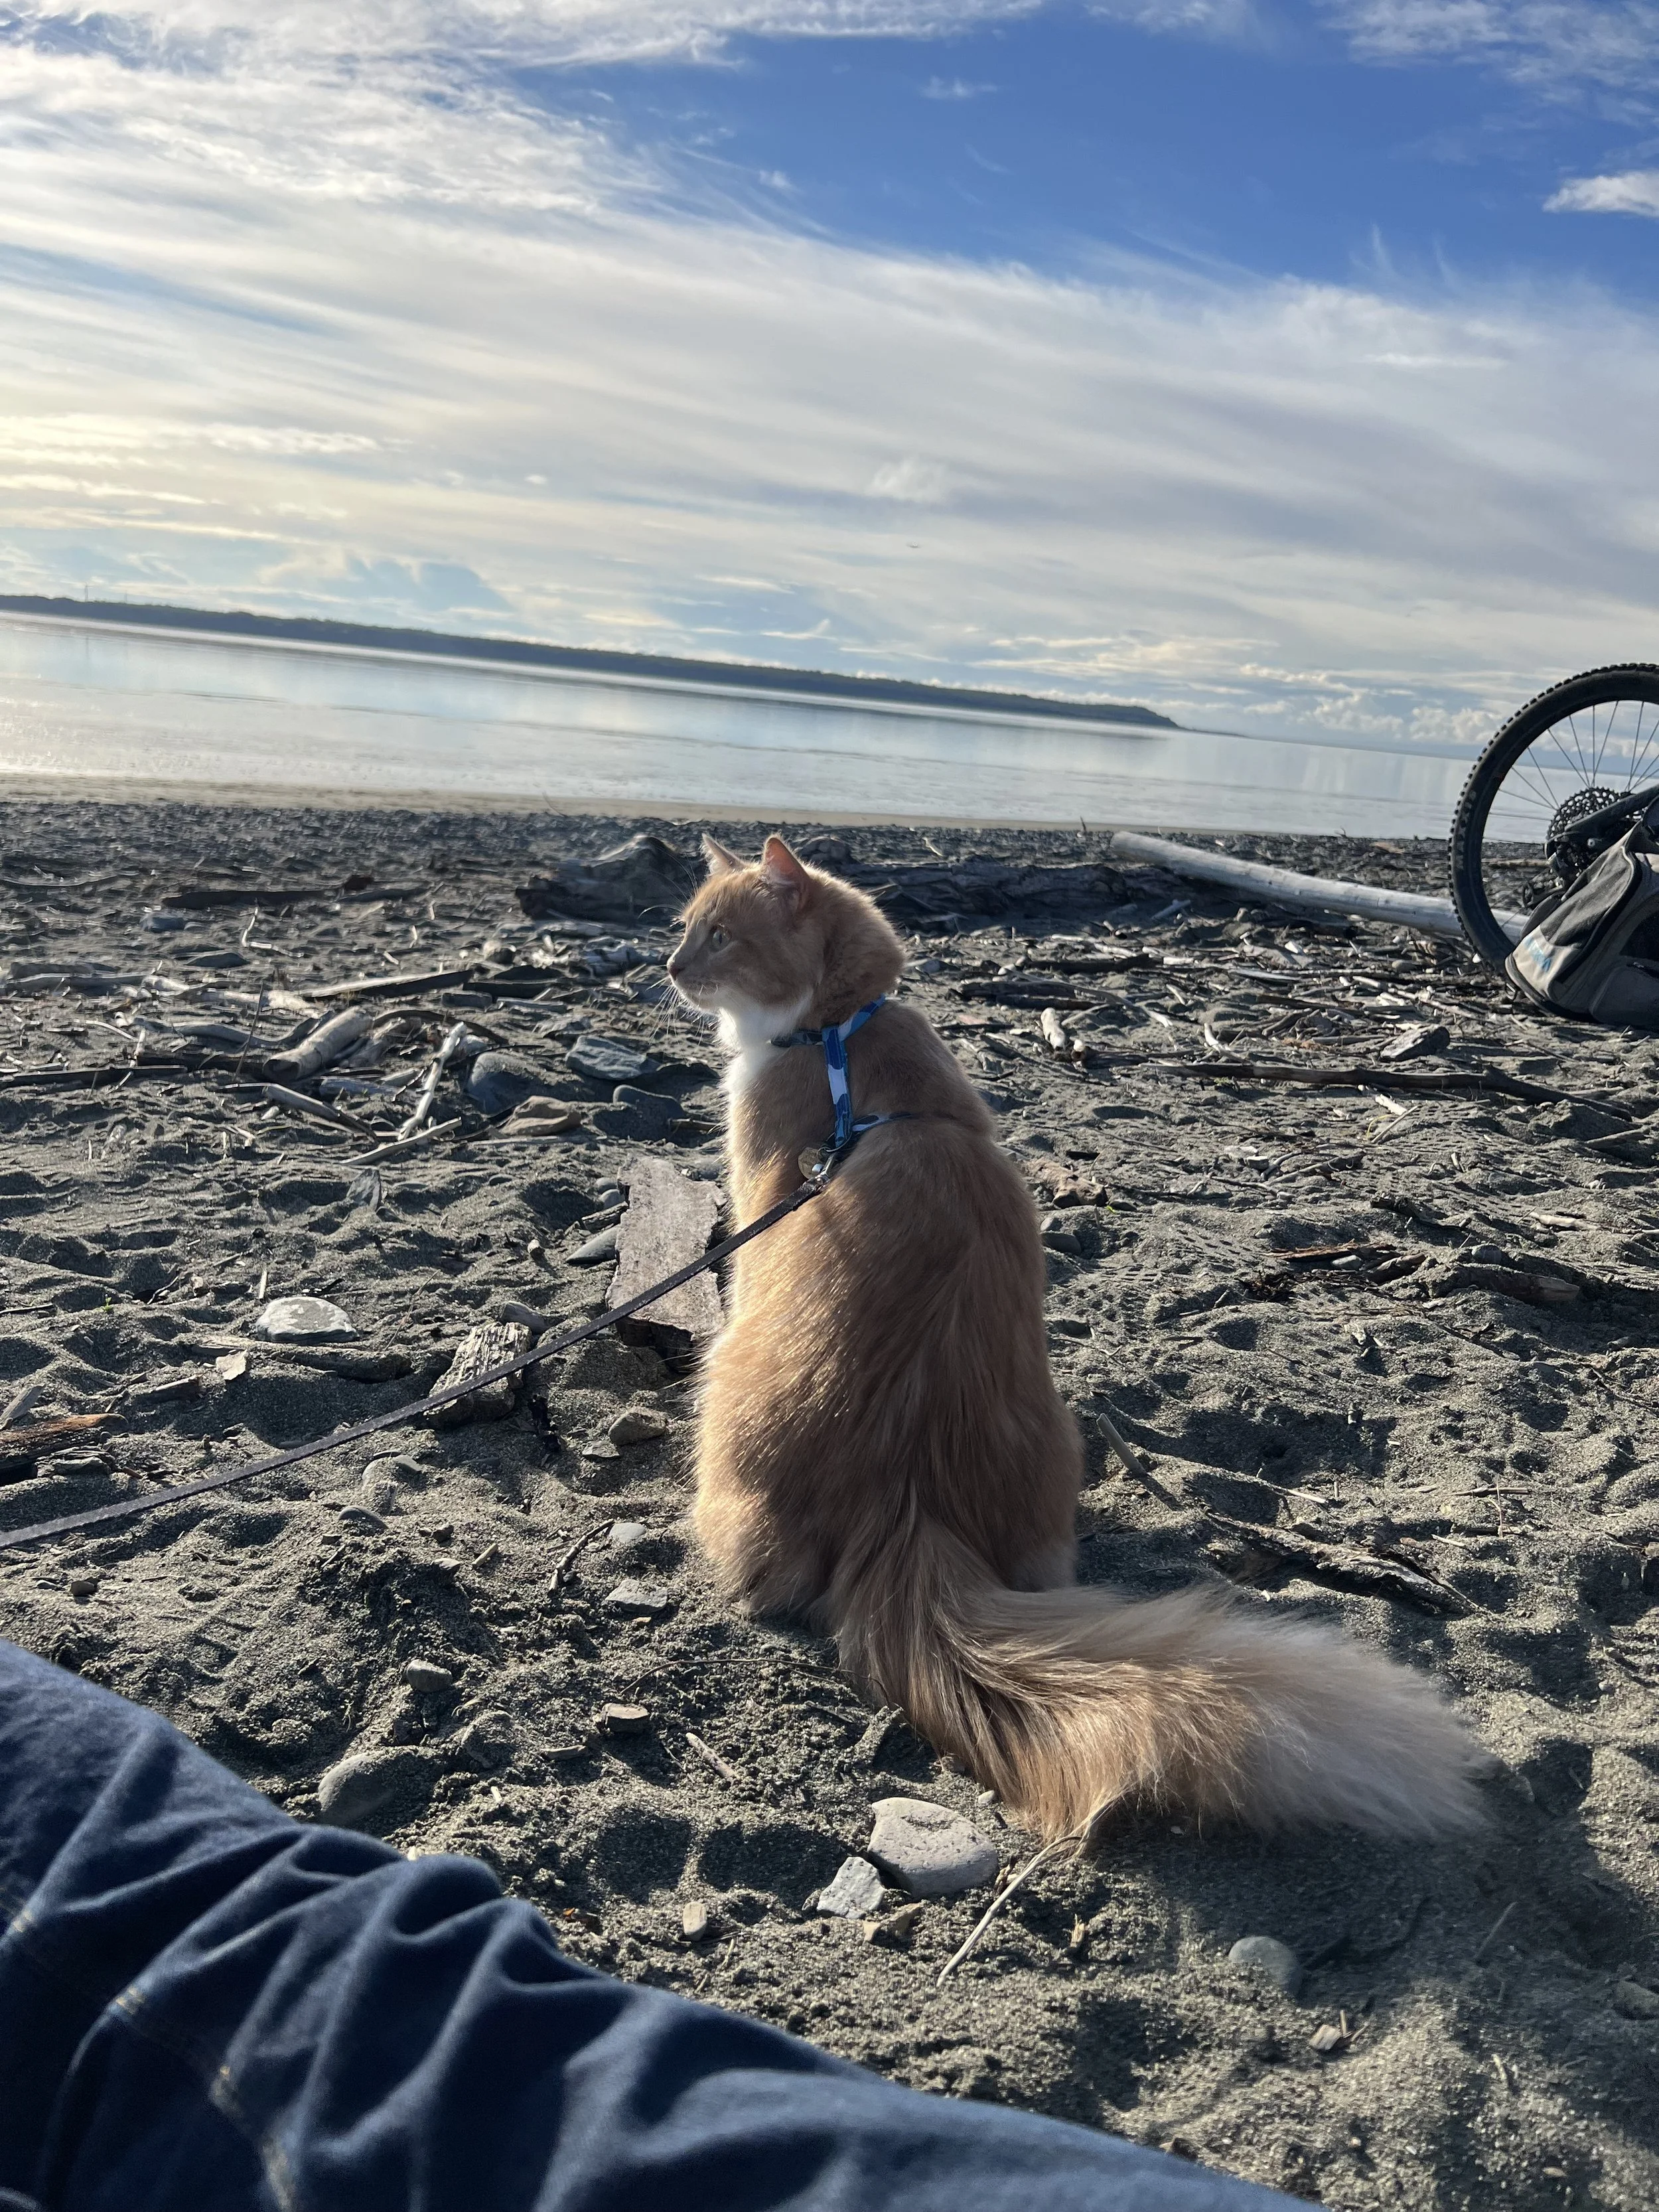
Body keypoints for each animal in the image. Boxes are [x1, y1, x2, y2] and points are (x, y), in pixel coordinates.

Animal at [668, 836, 1486, 1840]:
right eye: (687, 928)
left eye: (718, 936)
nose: (671, 968)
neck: (840, 1035)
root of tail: (911, 1501)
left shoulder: (755, 1200)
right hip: (1058, 1446)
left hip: (724, 1398)